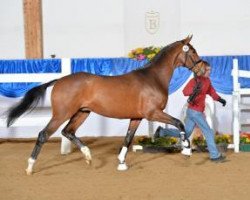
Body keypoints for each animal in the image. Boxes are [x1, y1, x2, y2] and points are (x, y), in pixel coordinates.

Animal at [6, 35, 208, 174]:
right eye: (193, 51)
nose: (205, 68)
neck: (153, 78)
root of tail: (59, 80)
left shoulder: (137, 117)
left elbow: (128, 138)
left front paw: (121, 163)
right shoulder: (153, 113)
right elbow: (179, 123)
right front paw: (186, 150)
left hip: (82, 112)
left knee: (68, 131)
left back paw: (88, 156)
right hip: (62, 114)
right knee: (44, 134)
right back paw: (30, 167)